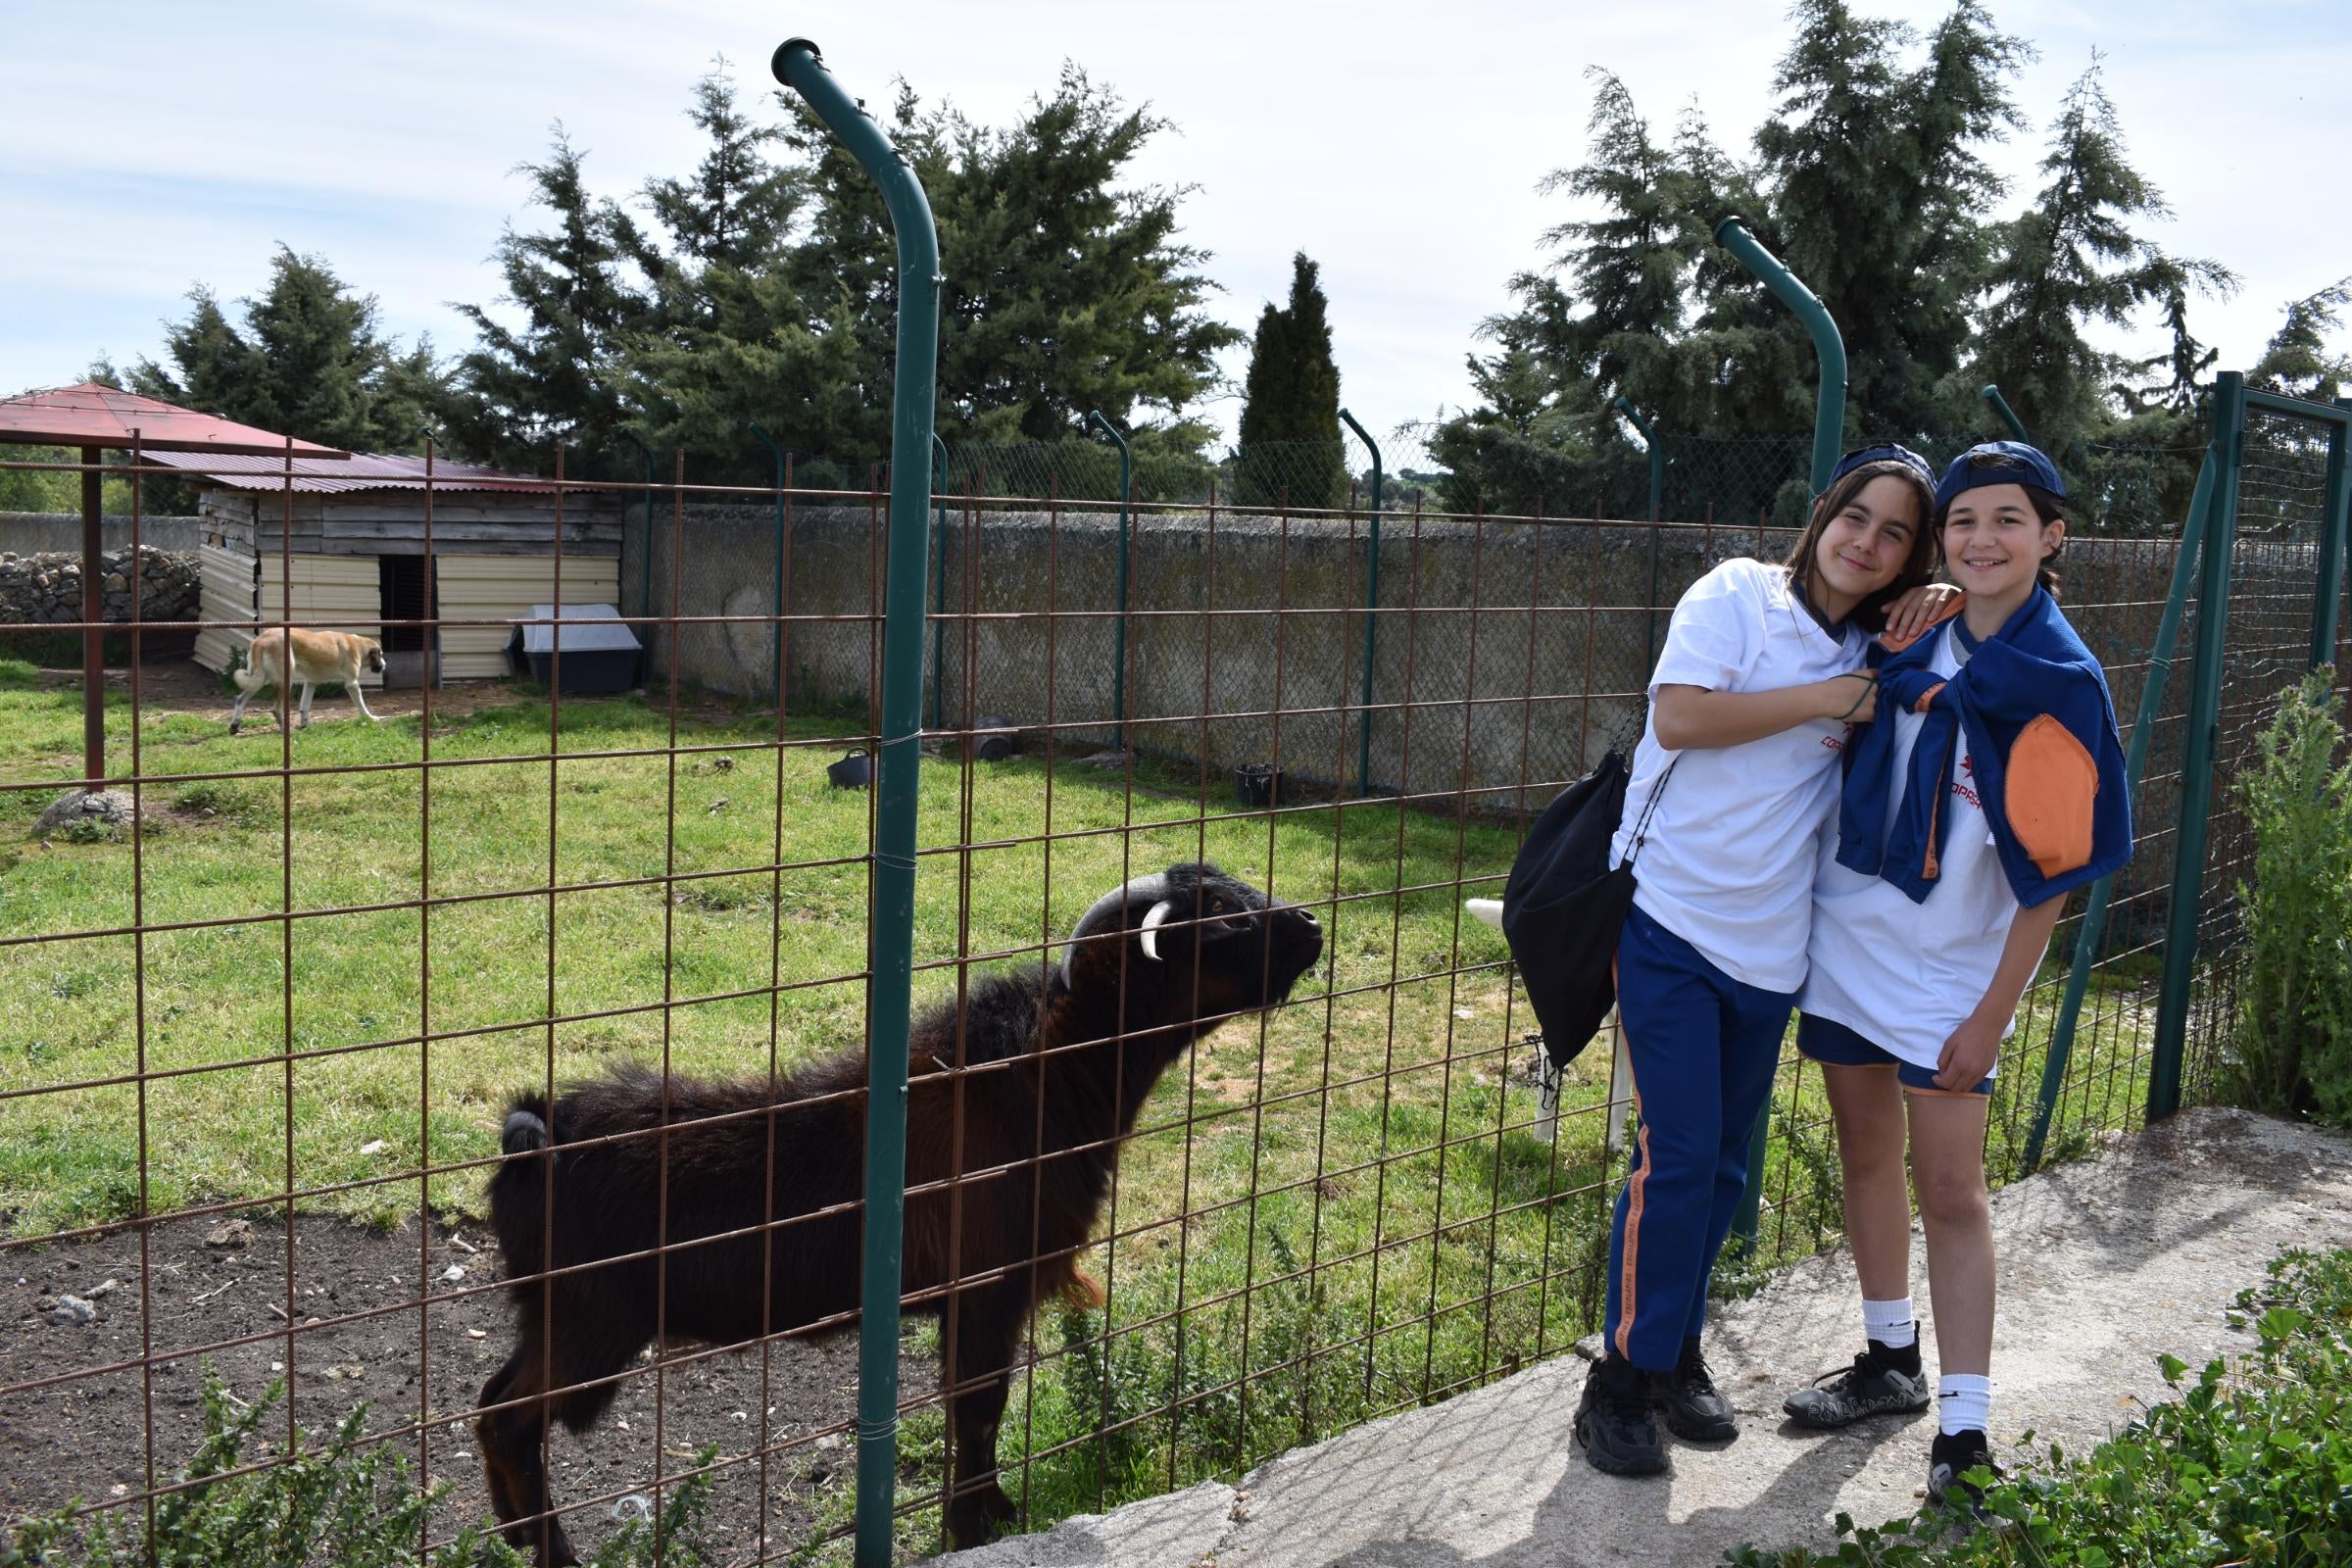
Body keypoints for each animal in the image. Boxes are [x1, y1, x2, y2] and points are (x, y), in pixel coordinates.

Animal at [229, 625, 385, 738]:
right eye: (380, 655)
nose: (384, 665)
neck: (358, 644)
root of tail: (261, 640)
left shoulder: (311, 682)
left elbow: (305, 706)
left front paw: (306, 725)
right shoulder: (352, 683)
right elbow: (361, 706)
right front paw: (371, 718)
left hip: (260, 679)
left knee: (239, 699)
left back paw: (235, 726)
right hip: (285, 681)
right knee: (276, 709)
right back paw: (286, 731)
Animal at [477, 864, 1326, 1560]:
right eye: (1220, 914)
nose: (1313, 927)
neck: (1039, 1079)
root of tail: (534, 1138)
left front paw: (989, 1512)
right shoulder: (985, 1290)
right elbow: (978, 1406)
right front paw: (974, 1527)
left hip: (560, 1320)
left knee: (493, 1405)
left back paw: (515, 1532)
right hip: (589, 1324)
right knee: (509, 1419)